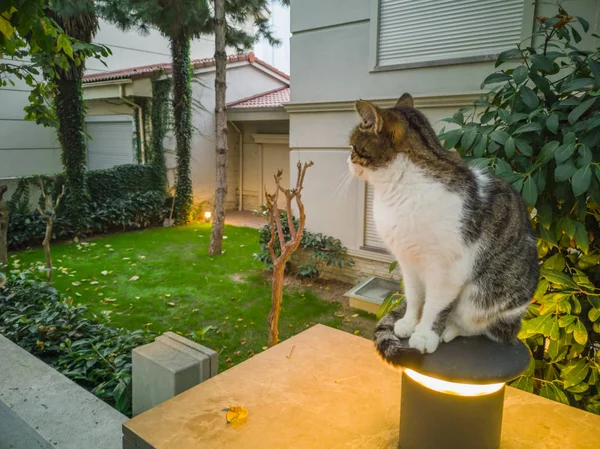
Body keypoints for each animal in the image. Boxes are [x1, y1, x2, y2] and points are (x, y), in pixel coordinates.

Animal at [346, 93, 540, 354]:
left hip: (482, 297)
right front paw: (408, 323)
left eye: (353, 146)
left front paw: (425, 334)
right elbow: (415, 297)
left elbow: (435, 306)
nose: (347, 159)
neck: (401, 187)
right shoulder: (407, 261)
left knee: (483, 328)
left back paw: (449, 330)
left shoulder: (447, 269)